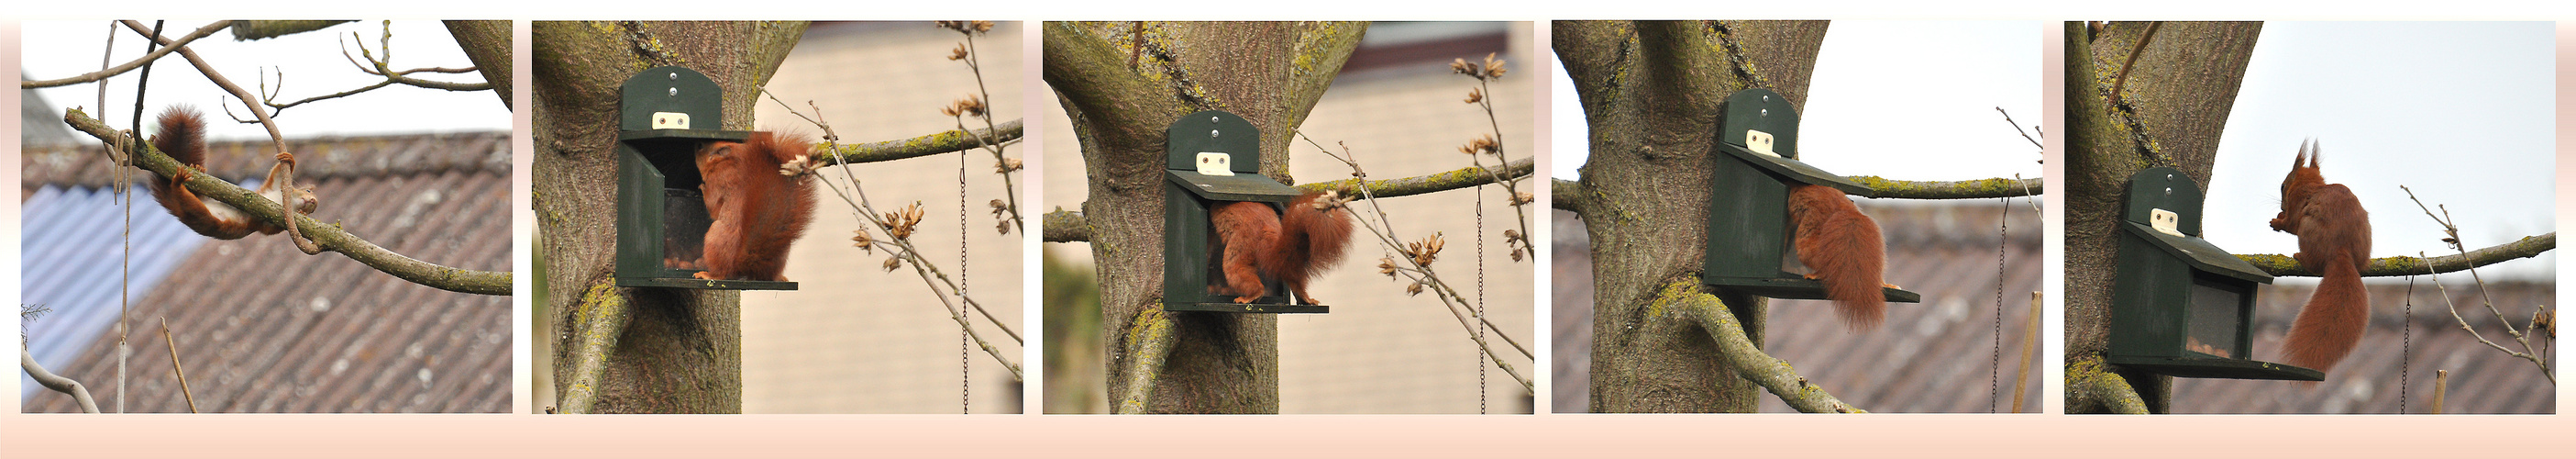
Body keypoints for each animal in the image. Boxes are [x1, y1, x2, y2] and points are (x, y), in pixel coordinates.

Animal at [150, 105, 319, 238]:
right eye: (308, 191)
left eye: (314, 210)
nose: (312, 201)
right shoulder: (273, 187)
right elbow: (276, 174)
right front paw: (289, 160)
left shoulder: (265, 223)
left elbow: (270, 229)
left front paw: (302, 214)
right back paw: (193, 171)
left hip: (198, 214)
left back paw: (180, 182)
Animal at [695, 129, 813, 283]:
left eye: (700, 146)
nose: (694, 144)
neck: (726, 162)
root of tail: (742, 265)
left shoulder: (718, 181)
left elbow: (713, 206)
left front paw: (702, 188)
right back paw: (779, 277)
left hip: (715, 238)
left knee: (722, 273)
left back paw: (708, 274)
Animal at [1211, 189, 1360, 304]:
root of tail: (1267, 230)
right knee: (1294, 279)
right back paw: (1306, 299)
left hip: (1240, 247)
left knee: (1240, 273)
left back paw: (1250, 296)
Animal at [2277, 140, 2370, 376]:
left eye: (2283, 186)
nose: (2281, 207)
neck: (2314, 186)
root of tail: (2341, 251)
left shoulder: (2297, 199)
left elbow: (2290, 224)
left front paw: (2277, 221)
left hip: (2307, 229)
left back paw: (2301, 257)